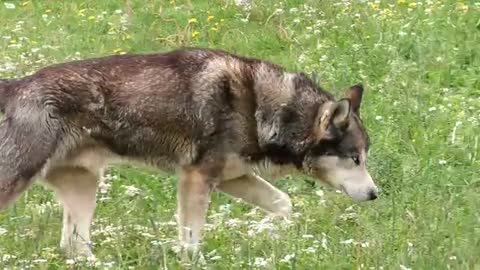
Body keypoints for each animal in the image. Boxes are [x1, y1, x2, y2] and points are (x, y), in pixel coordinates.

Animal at [0, 48, 378, 260]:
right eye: (355, 158)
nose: (376, 194)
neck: (260, 105)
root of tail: (15, 85)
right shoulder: (196, 179)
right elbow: (192, 241)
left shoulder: (232, 178)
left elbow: (284, 204)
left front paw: (270, 233)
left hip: (84, 187)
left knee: (74, 248)